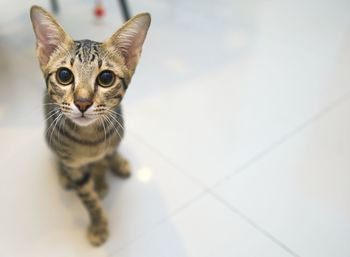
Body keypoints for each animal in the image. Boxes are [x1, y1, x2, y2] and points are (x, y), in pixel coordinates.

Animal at [29, 4, 150, 244]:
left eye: (106, 78)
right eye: (64, 75)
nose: (83, 102)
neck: (90, 139)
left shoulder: (105, 147)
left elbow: (102, 164)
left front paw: (101, 182)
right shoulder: (76, 168)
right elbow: (88, 198)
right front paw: (98, 223)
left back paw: (118, 162)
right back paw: (63, 174)